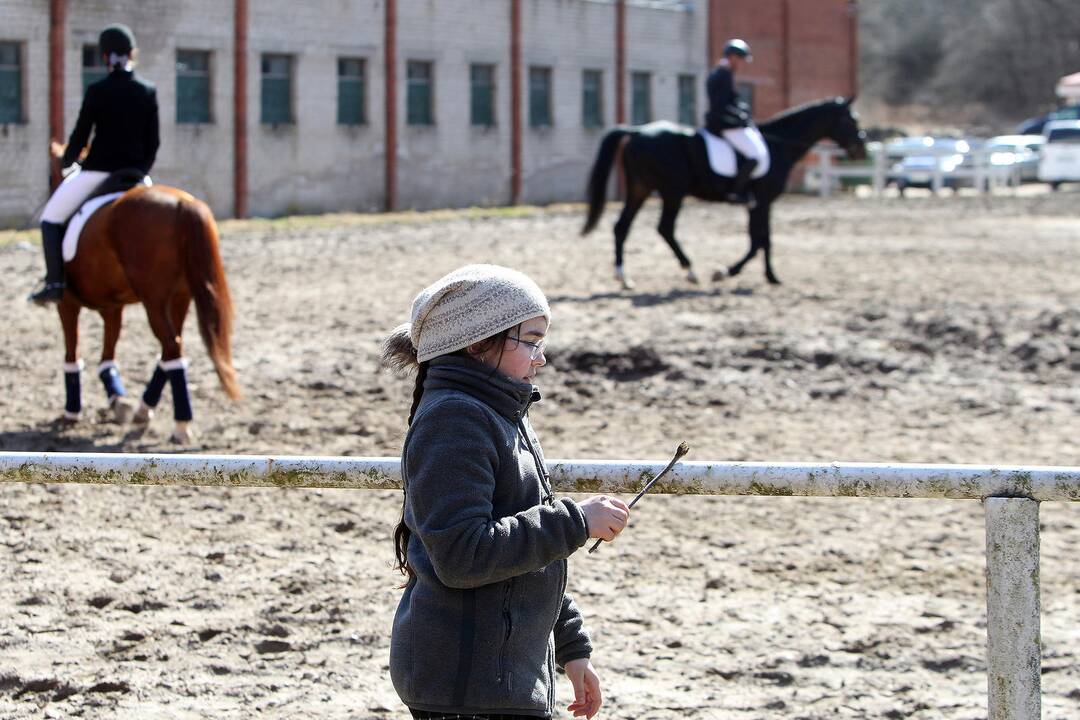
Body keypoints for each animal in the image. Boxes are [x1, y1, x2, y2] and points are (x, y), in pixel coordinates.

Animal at [47, 145, 239, 442]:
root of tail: (183, 205)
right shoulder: (113, 307)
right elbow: (108, 353)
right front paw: (117, 398)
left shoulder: (67, 304)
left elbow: (72, 352)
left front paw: (72, 411)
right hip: (180, 297)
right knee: (172, 347)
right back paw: (143, 410)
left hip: (154, 300)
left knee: (171, 347)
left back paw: (180, 424)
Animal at [583, 97, 868, 289]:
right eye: (851, 119)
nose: (861, 149)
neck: (779, 145)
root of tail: (637, 131)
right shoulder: (763, 200)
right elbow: (759, 241)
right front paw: (730, 271)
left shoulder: (757, 203)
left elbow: (761, 239)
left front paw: (767, 275)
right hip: (672, 191)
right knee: (665, 228)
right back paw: (690, 270)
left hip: (640, 189)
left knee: (622, 227)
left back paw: (624, 276)